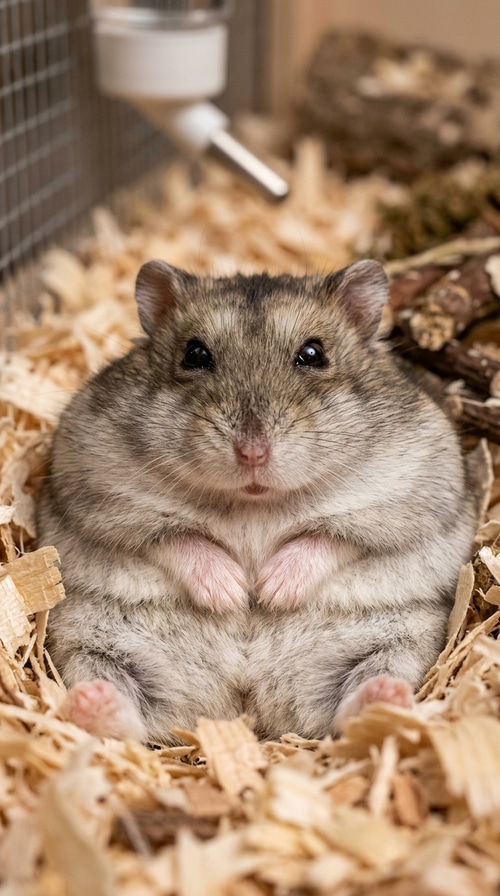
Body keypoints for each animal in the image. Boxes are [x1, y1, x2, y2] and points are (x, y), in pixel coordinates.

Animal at [36, 259, 479, 743]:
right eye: (194, 354)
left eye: (313, 354)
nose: (252, 453)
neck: (255, 503)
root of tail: (247, 702)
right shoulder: (103, 497)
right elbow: (176, 538)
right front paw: (232, 594)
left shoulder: (406, 499)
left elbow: (329, 539)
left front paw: (269, 592)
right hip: (91, 639)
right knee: (124, 711)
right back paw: (92, 701)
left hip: (400, 638)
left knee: (358, 698)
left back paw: (384, 697)